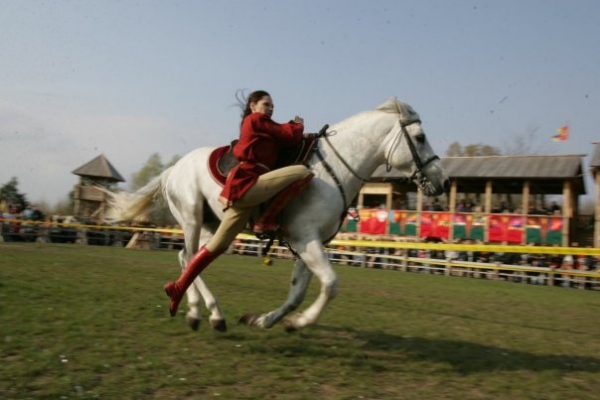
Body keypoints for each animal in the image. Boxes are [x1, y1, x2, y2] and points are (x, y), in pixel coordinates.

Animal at [105, 98, 448, 332]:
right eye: (420, 138)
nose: (442, 181)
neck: (334, 170)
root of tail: (174, 168)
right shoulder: (306, 240)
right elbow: (331, 285)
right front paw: (301, 321)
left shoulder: (311, 244)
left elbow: (298, 292)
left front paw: (267, 320)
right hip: (191, 218)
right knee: (190, 258)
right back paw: (203, 311)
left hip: (213, 225)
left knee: (190, 258)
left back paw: (199, 311)